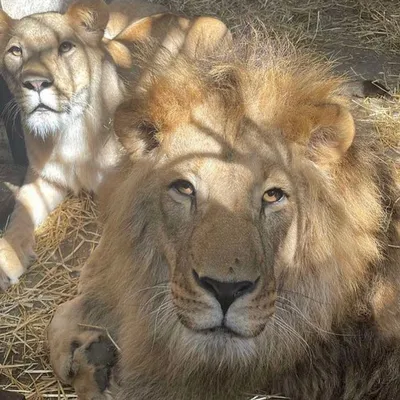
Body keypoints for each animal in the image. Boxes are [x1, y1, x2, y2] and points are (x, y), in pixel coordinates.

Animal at [0, 0, 228, 290]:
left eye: (65, 47)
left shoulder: (125, 180)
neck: (69, 131)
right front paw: (6, 257)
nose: (36, 83)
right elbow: (21, 212)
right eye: (15, 51)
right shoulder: (43, 178)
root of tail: (186, 16)